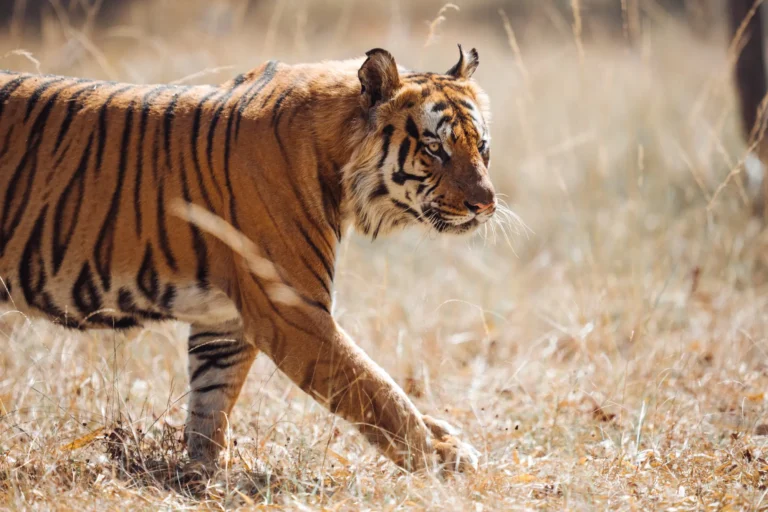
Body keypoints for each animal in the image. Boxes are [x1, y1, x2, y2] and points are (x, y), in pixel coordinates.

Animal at [0, 45, 496, 472]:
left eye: (482, 146)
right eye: (435, 149)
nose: (485, 204)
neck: (336, 163)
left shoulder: (224, 320)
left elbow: (211, 399)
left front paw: (203, 472)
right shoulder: (292, 311)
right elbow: (376, 391)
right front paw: (442, 457)